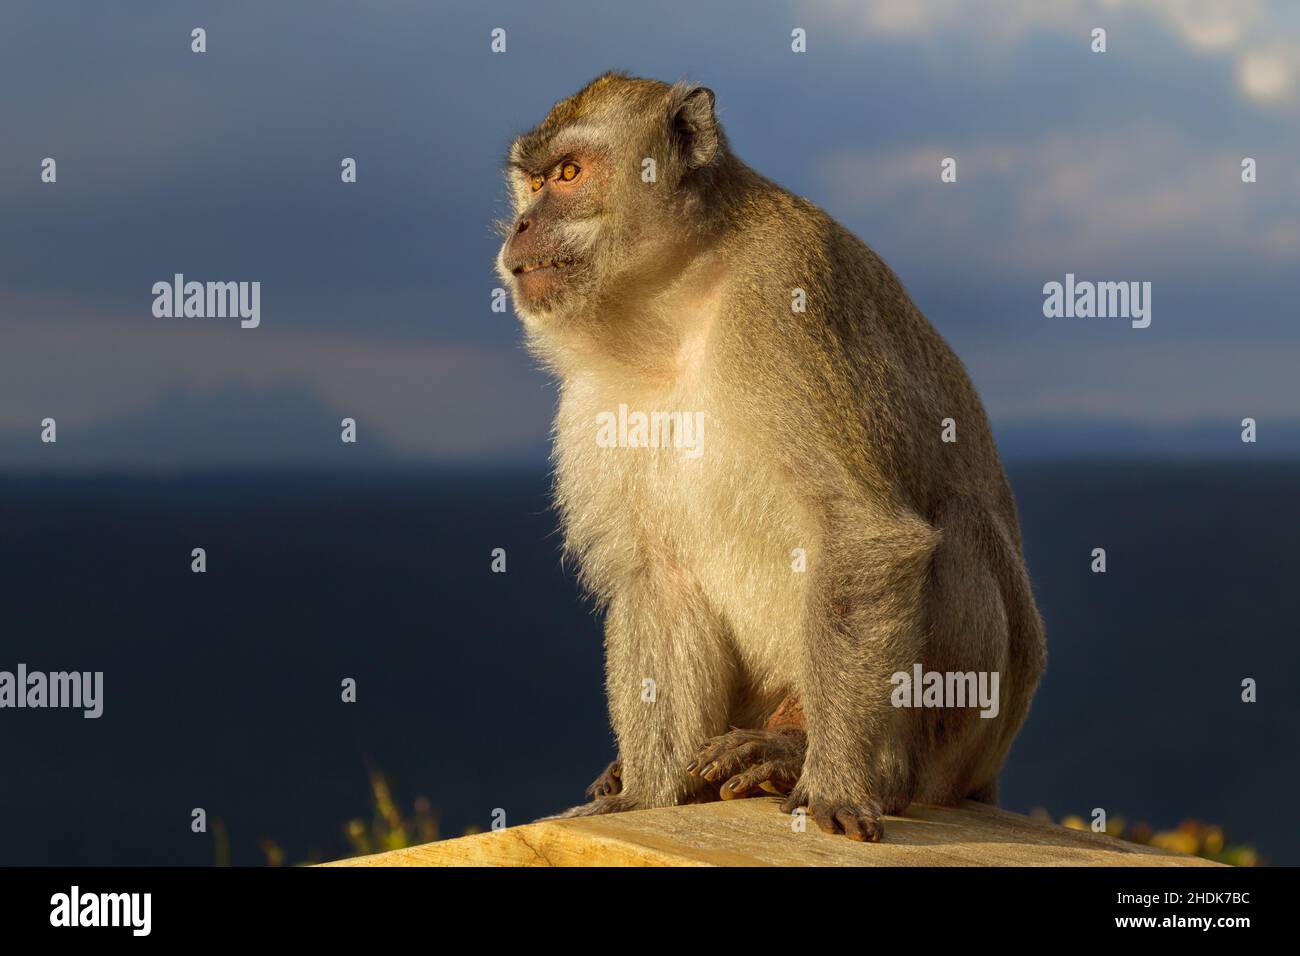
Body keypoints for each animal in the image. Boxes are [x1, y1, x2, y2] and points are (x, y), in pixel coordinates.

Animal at [496, 70, 1045, 842]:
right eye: (533, 181)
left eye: (569, 174)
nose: (520, 225)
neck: (672, 306)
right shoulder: (593, 397)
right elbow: (658, 580)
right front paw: (645, 797)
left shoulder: (787, 293)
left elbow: (863, 531)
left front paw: (837, 783)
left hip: (967, 745)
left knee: (959, 530)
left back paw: (823, 758)